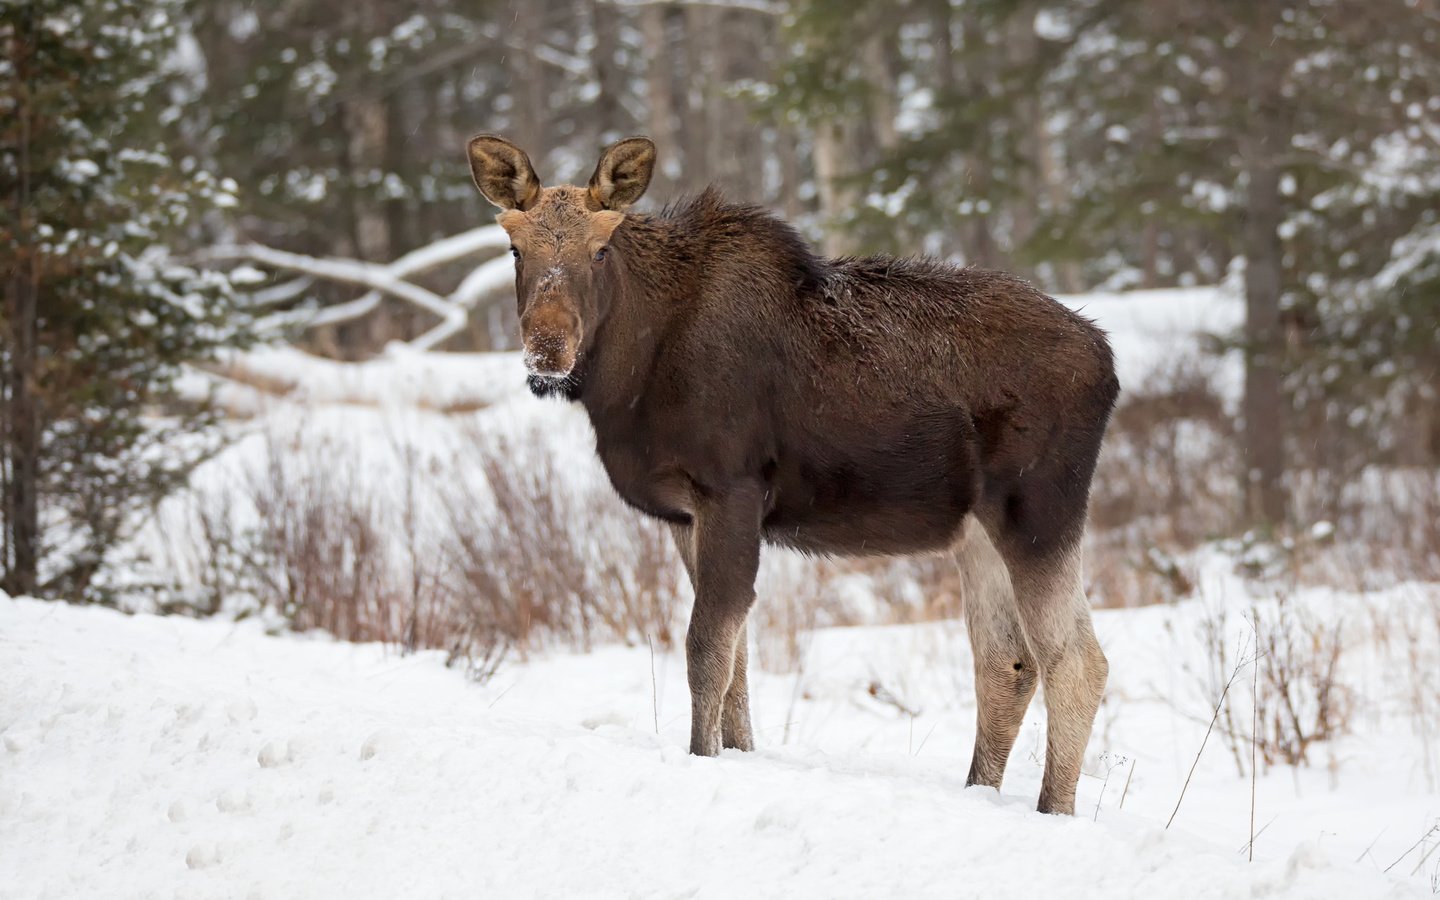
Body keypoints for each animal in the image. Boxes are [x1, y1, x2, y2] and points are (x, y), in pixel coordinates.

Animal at [466, 133, 1117, 812]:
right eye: (515, 248)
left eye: (599, 249)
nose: (547, 349)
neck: (630, 378)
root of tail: (1108, 360)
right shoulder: (683, 514)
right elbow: (737, 661)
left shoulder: (730, 488)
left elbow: (707, 650)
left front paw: (702, 756)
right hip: (977, 530)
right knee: (1006, 662)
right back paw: (979, 791)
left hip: (1037, 510)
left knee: (1077, 661)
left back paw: (1052, 809)